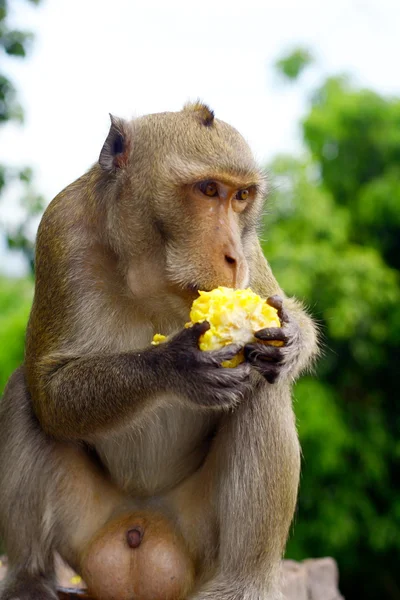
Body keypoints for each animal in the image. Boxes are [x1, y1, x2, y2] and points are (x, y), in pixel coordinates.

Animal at [0, 103, 318, 600]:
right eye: (208, 190)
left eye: (242, 197)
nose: (231, 257)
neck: (153, 271)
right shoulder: (61, 228)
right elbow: (48, 392)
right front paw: (174, 365)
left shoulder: (249, 244)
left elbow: (282, 327)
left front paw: (292, 338)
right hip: (86, 524)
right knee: (21, 393)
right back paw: (29, 579)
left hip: (198, 538)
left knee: (263, 386)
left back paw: (245, 584)